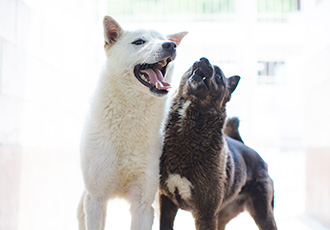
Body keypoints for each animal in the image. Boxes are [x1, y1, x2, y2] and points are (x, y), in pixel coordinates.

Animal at [159, 58, 278, 230]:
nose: (203, 59)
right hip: (223, 214)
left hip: (262, 212)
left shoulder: (206, 214)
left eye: (219, 76)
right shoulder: (166, 201)